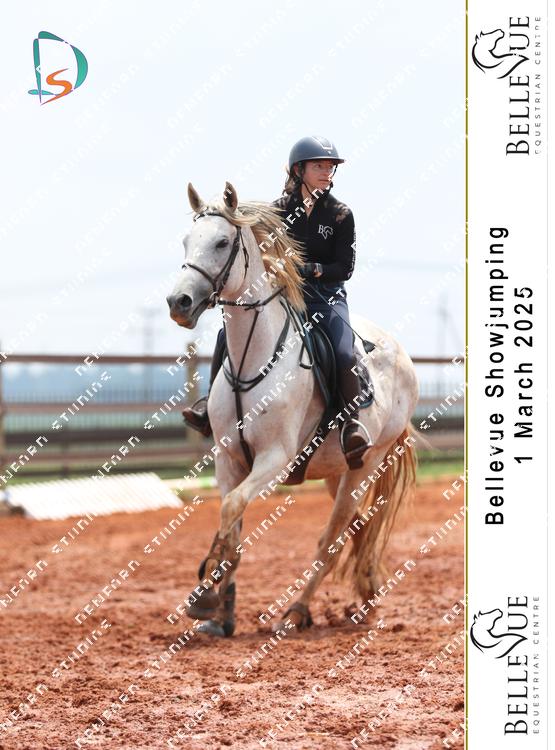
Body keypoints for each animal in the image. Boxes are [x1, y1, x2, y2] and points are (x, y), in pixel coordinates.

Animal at [166, 181, 419, 636]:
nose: (179, 302)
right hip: (338, 471)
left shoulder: (273, 460)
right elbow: (233, 528)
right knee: (358, 529)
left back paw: (297, 611)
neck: (254, 357)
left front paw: (206, 595)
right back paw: (367, 597)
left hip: (367, 465)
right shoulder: (230, 460)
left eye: (222, 242)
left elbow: (232, 511)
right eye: (186, 240)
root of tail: (401, 355)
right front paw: (220, 613)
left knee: (332, 539)